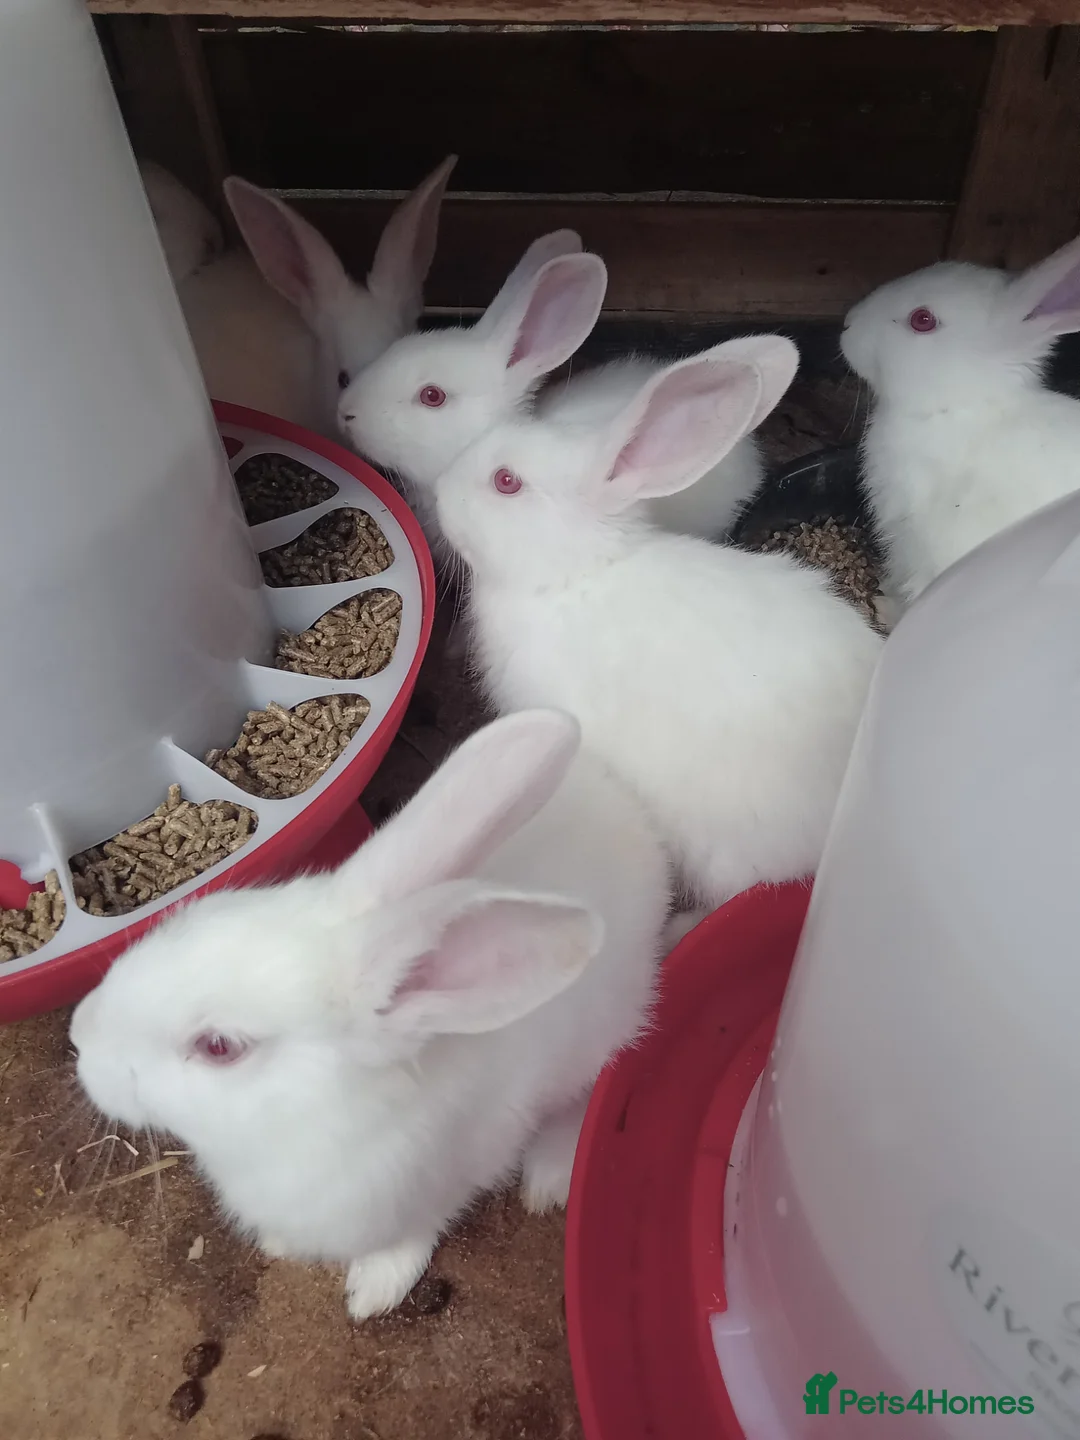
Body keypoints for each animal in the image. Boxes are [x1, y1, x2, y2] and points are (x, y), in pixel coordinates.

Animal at [70, 709, 668, 1321]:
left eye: (219, 1047)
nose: (80, 1036)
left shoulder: (449, 1177)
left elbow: (412, 1233)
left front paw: (374, 1290)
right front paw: (280, 1244)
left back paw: (548, 1176)